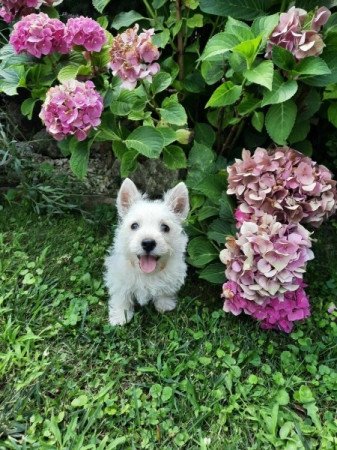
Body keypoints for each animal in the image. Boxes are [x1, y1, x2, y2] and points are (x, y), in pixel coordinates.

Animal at [104, 178, 189, 326]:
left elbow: (165, 290)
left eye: (165, 227)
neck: (146, 274)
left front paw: (165, 304)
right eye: (134, 225)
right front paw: (120, 316)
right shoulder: (119, 278)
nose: (148, 243)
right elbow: (121, 296)